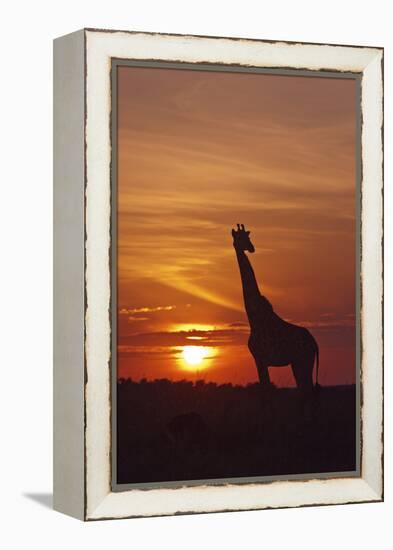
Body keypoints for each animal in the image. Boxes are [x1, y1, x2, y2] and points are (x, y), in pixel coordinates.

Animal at [233, 222, 318, 394]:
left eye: (248, 237)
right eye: (239, 237)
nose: (251, 248)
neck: (253, 319)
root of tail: (315, 343)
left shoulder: (260, 359)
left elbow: (266, 391)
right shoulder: (260, 360)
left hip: (304, 361)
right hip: (298, 363)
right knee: (305, 390)